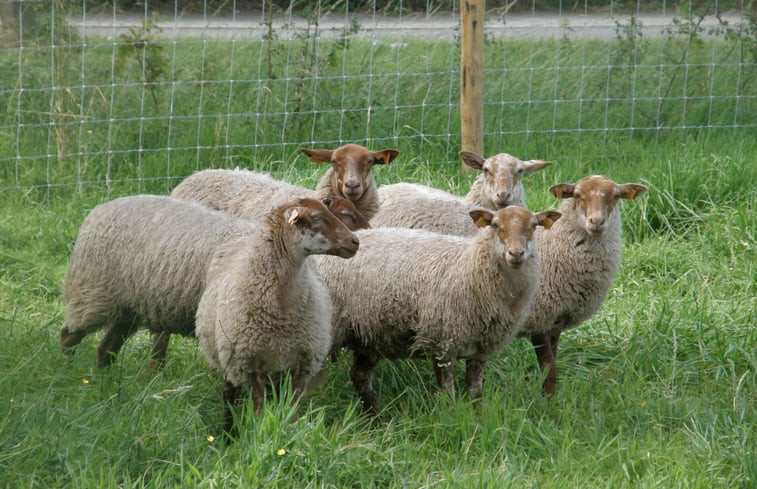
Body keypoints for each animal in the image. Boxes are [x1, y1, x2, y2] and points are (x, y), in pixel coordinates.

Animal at [195, 194, 360, 430]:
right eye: (316, 217)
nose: (355, 242)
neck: (281, 312)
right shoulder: (249, 365)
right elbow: (259, 411)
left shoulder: (302, 363)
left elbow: (291, 410)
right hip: (229, 359)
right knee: (229, 397)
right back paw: (228, 431)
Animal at [310, 203, 560, 412]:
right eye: (496, 225)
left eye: (534, 226)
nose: (516, 254)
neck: (469, 266)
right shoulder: (441, 342)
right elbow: (448, 392)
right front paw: (451, 417)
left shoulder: (480, 348)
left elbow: (476, 391)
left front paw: (477, 418)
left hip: (368, 335)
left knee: (360, 376)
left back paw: (376, 418)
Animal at [524, 173, 648, 394]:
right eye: (577, 195)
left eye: (616, 196)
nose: (596, 221)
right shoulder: (538, 319)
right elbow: (549, 369)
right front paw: (547, 400)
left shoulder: (554, 323)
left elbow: (553, 364)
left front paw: (551, 398)